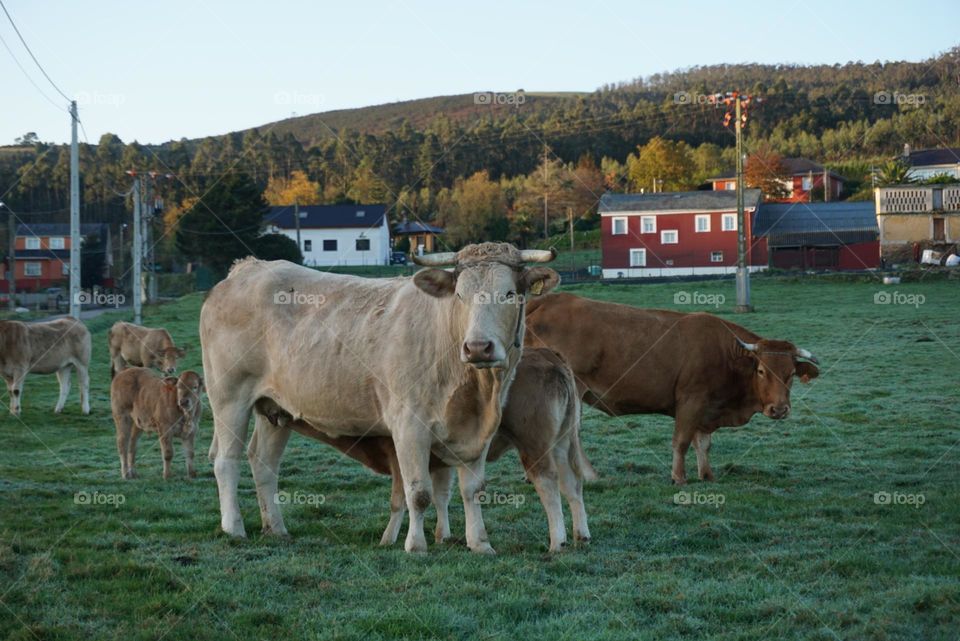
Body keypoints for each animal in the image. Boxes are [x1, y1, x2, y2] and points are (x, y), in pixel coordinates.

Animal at [200, 243, 559, 553]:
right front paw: (416, 545)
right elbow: (419, 492)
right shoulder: (409, 426)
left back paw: (276, 528)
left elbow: (474, 491)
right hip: (229, 398)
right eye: (459, 295)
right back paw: (234, 528)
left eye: (509, 293)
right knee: (226, 461)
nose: (478, 347)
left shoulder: (479, 432)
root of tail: (246, 268)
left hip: (275, 409)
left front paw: (480, 544)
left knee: (263, 463)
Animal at [239, 348, 595, 552]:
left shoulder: (402, 456)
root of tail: (550, 355)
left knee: (548, 484)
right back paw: (581, 534)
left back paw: (558, 540)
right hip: (562, 443)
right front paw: (442, 535)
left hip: (535, 445)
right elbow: (441, 496)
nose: (271, 411)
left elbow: (402, 499)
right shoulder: (439, 460)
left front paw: (391, 538)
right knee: (572, 484)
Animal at [524, 293, 820, 484]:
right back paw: (589, 475)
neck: (726, 354)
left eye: (791, 374)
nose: (779, 410)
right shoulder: (691, 400)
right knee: (570, 433)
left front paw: (706, 474)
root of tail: (548, 301)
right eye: (761, 371)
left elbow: (704, 443)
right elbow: (682, 441)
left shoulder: (707, 407)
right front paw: (679, 476)